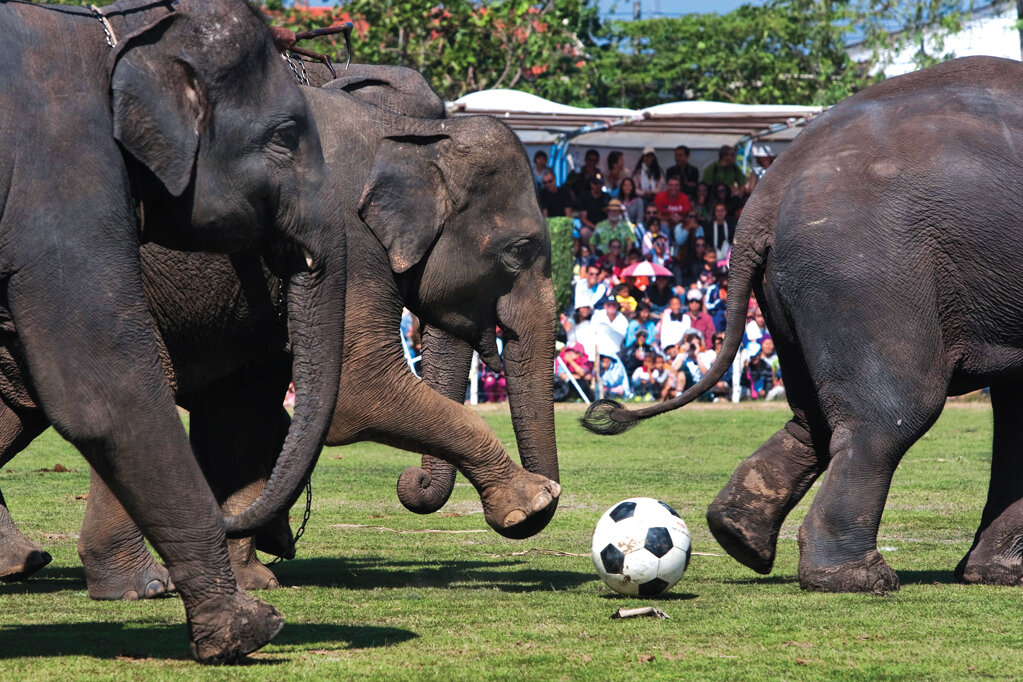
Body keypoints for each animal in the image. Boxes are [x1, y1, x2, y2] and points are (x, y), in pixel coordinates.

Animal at [0, 65, 560, 597]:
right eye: (519, 250)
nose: (412, 481)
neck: (408, 137)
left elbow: (243, 410)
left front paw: (252, 579)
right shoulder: (346, 241)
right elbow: (359, 391)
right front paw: (531, 501)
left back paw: (23, 564)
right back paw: (140, 586)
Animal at [585, 55, 1023, 593]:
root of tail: (765, 194)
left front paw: (997, 574)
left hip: (807, 286)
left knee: (813, 412)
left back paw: (737, 535)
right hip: (865, 270)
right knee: (894, 410)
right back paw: (855, 578)